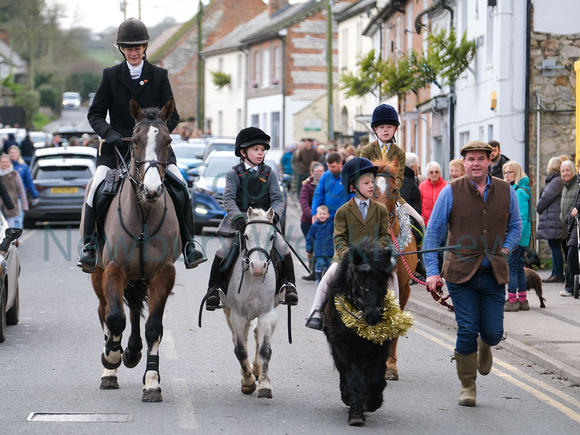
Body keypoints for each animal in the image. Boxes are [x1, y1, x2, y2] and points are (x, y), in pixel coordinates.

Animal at [81, 99, 180, 402]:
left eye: (168, 140)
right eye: (134, 141)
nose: (152, 190)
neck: (144, 212)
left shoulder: (163, 274)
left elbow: (154, 328)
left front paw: (152, 383)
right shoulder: (113, 270)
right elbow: (114, 318)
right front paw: (111, 358)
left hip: (139, 276)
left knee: (135, 311)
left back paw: (133, 352)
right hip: (97, 272)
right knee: (105, 311)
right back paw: (110, 369)